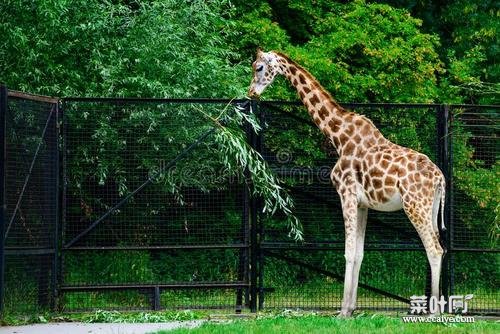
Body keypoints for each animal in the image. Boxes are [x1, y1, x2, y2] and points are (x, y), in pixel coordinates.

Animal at [248, 49, 448, 316]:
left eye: (259, 67)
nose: (251, 92)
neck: (338, 137)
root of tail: (440, 179)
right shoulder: (363, 204)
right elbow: (360, 253)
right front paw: (352, 307)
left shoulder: (346, 194)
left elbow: (348, 252)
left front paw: (343, 311)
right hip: (431, 208)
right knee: (439, 246)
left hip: (415, 206)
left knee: (434, 249)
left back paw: (434, 311)